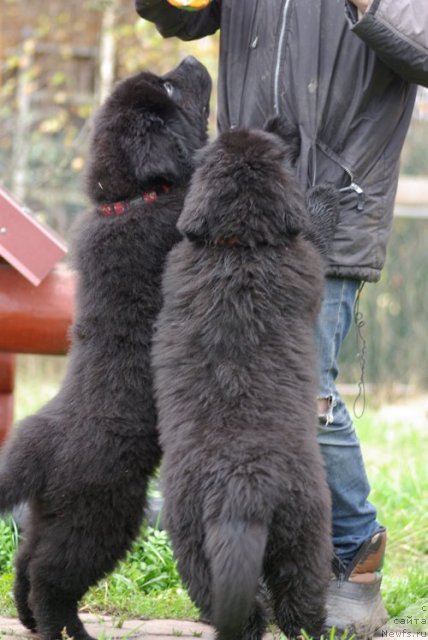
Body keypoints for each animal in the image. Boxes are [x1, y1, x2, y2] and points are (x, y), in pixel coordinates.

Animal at [0, 56, 211, 640]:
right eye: (169, 88)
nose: (191, 58)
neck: (133, 198)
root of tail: (35, 447)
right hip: (104, 515)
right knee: (51, 577)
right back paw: (63, 629)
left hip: (52, 515)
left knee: (27, 563)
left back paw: (44, 623)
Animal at [153, 126, 334, 640]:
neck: (239, 245)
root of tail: (240, 487)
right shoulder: (309, 263)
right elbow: (316, 238)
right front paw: (323, 207)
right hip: (305, 531)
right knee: (298, 597)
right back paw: (316, 626)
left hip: (195, 542)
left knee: (235, 603)